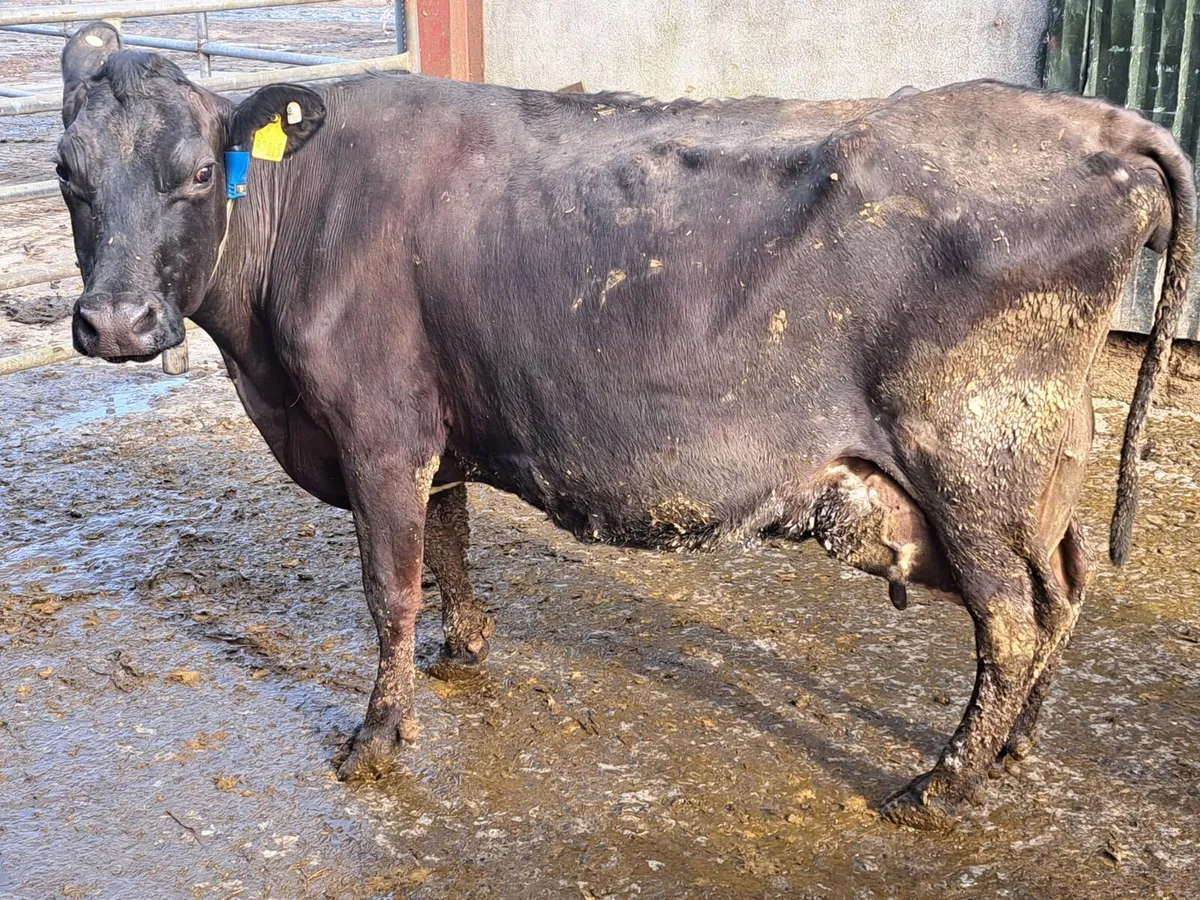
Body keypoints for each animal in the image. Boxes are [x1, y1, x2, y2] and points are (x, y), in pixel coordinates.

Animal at [54, 22, 1194, 830]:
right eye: (68, 173)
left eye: (197, 174)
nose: (116, 323)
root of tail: (1101, 123)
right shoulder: (440, 427)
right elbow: (453, 547)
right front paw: (464, 652)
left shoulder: (377, 432)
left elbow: (390, 588)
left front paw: (378, 736)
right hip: (1042, 465)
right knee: (1066, 588)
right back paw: (1015, 747)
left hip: (972, 466)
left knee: (1014, 620)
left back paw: (941, 788)